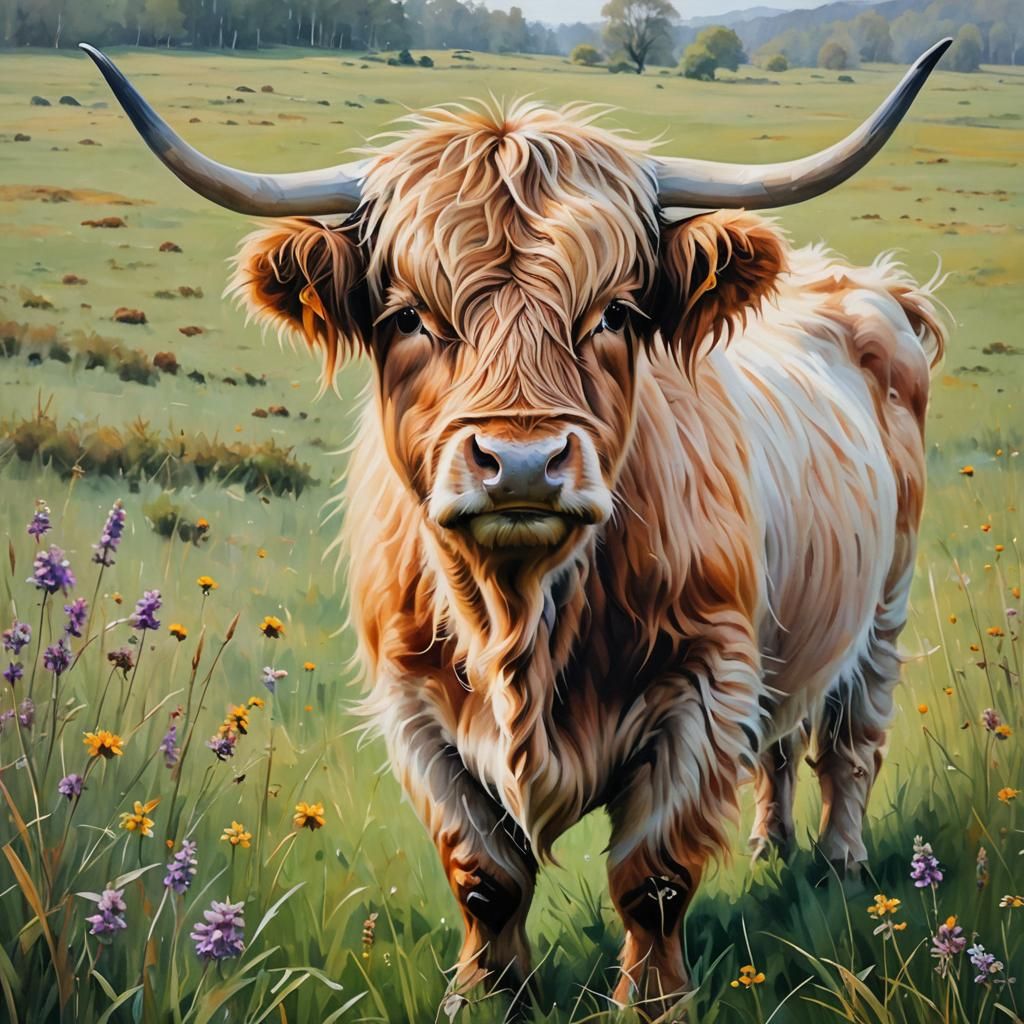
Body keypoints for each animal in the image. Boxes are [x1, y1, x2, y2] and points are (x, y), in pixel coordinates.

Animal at [84, 40, 950, 1014]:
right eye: (409, 316)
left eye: (615, 312)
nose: (524, 463)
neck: (523, 618)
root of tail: (859, 283)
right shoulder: (415, 704)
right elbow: (485, 875)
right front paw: (485, 996)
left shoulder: (706, 682)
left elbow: (652, 877)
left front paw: (652, 1006)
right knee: (786, 739)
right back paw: (773, 844)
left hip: (885, 603)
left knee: (850, 743)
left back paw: (841, 868)